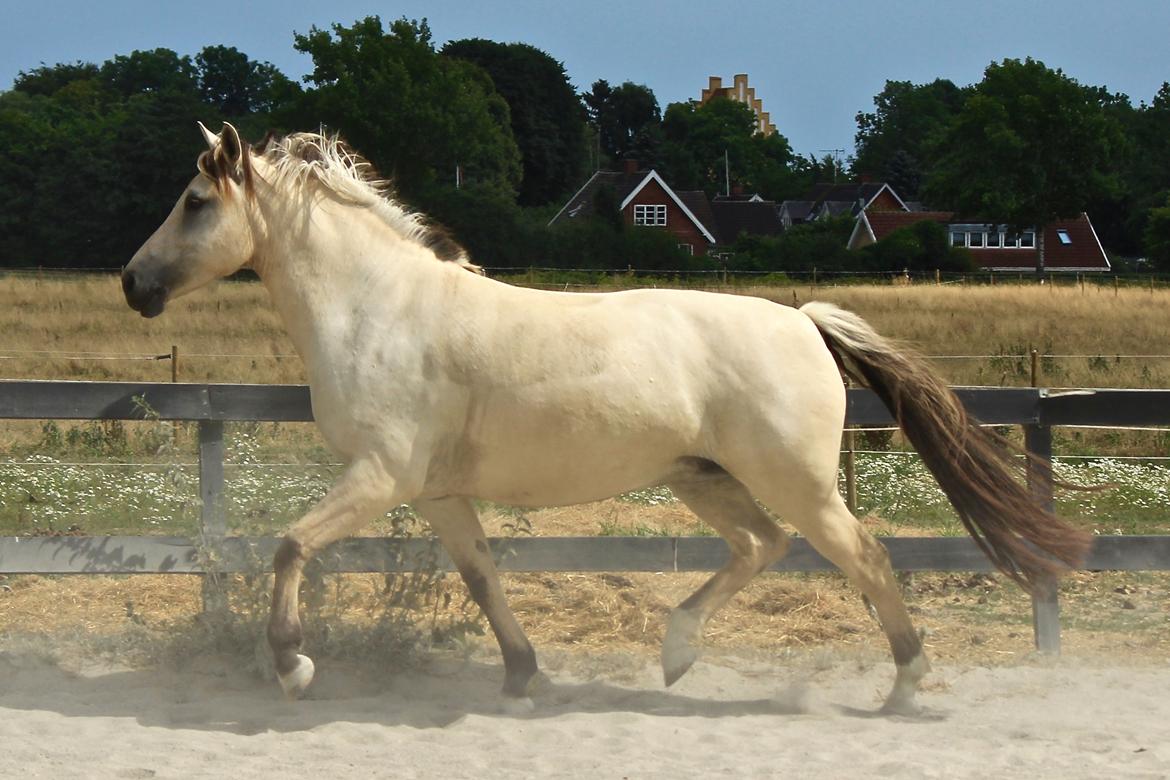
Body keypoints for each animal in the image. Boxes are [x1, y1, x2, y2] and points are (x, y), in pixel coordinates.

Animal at [121, 125, 1085, 715]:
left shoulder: (380, 477)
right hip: (704, 478)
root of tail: (806, 321)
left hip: (796, 481)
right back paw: (677, 653)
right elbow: (483, 578)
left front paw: (293, 666)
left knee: (865, 556)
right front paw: (522, 678)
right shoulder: (434, 493)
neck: (378, 309)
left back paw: (906, 685)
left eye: (196, 203)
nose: (133, 284)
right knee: (761, 546)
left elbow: (290, 546)